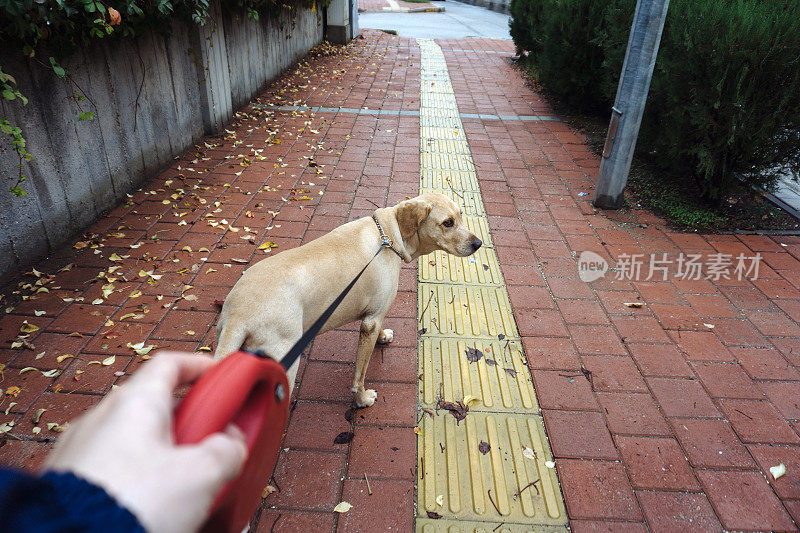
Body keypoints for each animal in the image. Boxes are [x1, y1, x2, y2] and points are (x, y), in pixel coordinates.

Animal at [212, 193, 484, 406]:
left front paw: (384, 336)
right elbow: (359, 375)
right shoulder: (370, 322)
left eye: (461, 215)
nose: (478, 243)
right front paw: (362, 399)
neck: (389, 235)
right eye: (447, 223)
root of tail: (237, 315)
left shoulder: (375, 315)